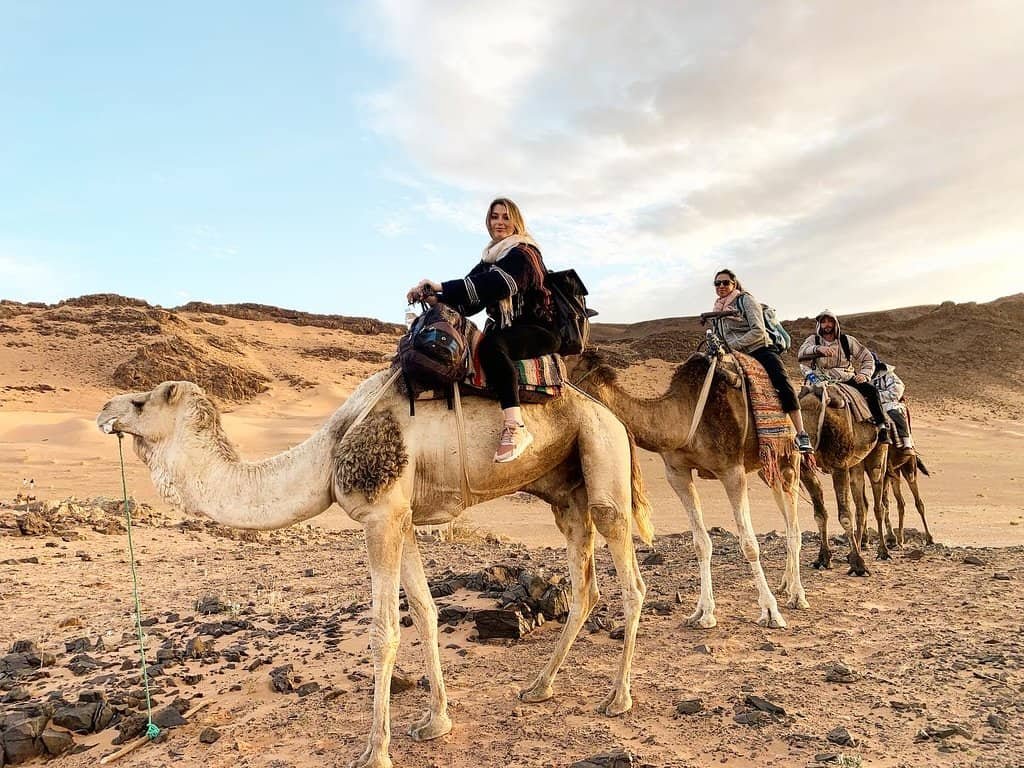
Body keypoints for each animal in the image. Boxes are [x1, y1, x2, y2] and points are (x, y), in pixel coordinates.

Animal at [97, 376, 655, 768]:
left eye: (142, 402)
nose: (105, 411)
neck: (325, 457)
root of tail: (616, 418)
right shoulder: (401, 518)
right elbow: (426, 611)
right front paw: (436, 721)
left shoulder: (381, 515)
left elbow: (384, 631)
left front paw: (375, 751)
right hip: (566, 490)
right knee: (584, 587)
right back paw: (538, 686)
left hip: (602, 457)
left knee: (630, 579)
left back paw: (618, 698)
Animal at [565, 352, 802, 626]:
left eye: (564, 364)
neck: (683, 417)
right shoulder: (677, 473)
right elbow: (701, 543)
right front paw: (704, 613)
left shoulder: (732, 470)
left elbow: (749, 544)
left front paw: (770, 611)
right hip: (767, 467)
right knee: (785, 514)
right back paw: (785, 585)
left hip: (790, 459)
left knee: (794, 526)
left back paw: (797, 595)